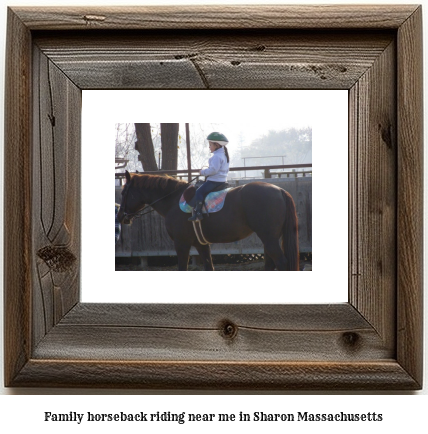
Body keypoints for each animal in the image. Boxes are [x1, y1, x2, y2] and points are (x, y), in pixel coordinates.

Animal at [115, 170, 300, 270]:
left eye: (124, 192)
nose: (120, 216)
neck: (173, 200)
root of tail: (279, 190)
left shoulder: (181, 244)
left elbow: (182, 268)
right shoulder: (201, 245)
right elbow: (209, 267)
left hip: (269, 238)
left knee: (282, 263)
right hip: (270, 239)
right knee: (271, 264)